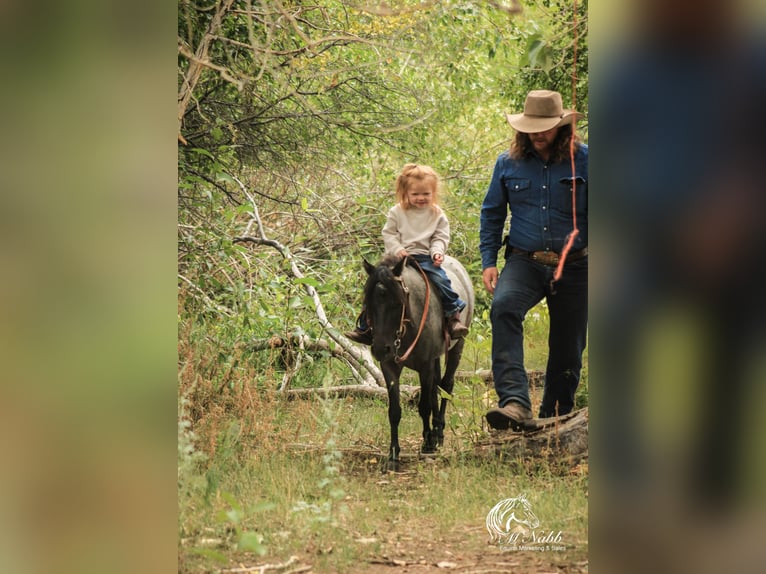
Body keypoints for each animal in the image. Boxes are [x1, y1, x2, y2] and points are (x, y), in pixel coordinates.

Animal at [362, 254, 474, 470]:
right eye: (368, 303)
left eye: (397, 303)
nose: (380, 349)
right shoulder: (390, 366)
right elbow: (395, 411)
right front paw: (393, 455)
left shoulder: (425, 364)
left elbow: (424, 406)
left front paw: (428, 445)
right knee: (435, 388)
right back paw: (434, 433)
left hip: (457, 346)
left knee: (446, 386)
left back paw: (438, 434)